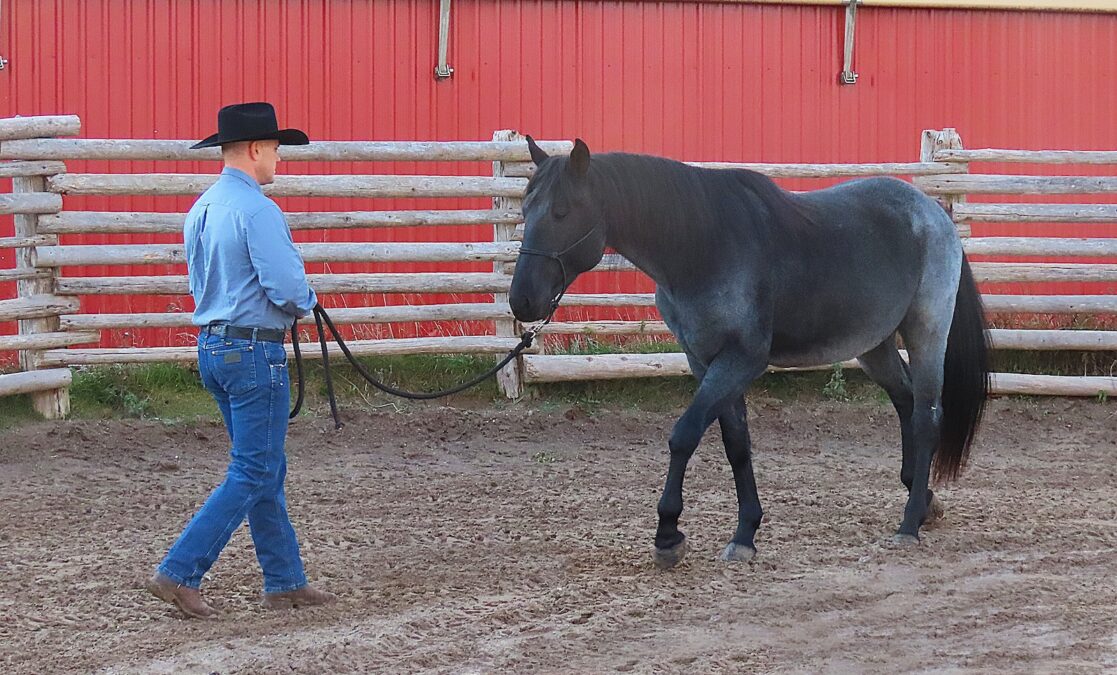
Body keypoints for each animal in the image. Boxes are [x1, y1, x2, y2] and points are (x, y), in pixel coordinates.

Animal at [509, 137, 989, 569]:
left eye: (561, 211)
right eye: (525, 210)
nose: (522, 301)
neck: (702, 247)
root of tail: (934, 212)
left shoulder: (741, 359)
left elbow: (685, 434)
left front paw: (668, 535)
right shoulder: (705, 360)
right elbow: (736, 444)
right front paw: (745, 534)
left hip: (927, 332)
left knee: (926, 417)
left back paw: (908, 525)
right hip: (875, 345)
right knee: (906, 403)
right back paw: (923, 501)